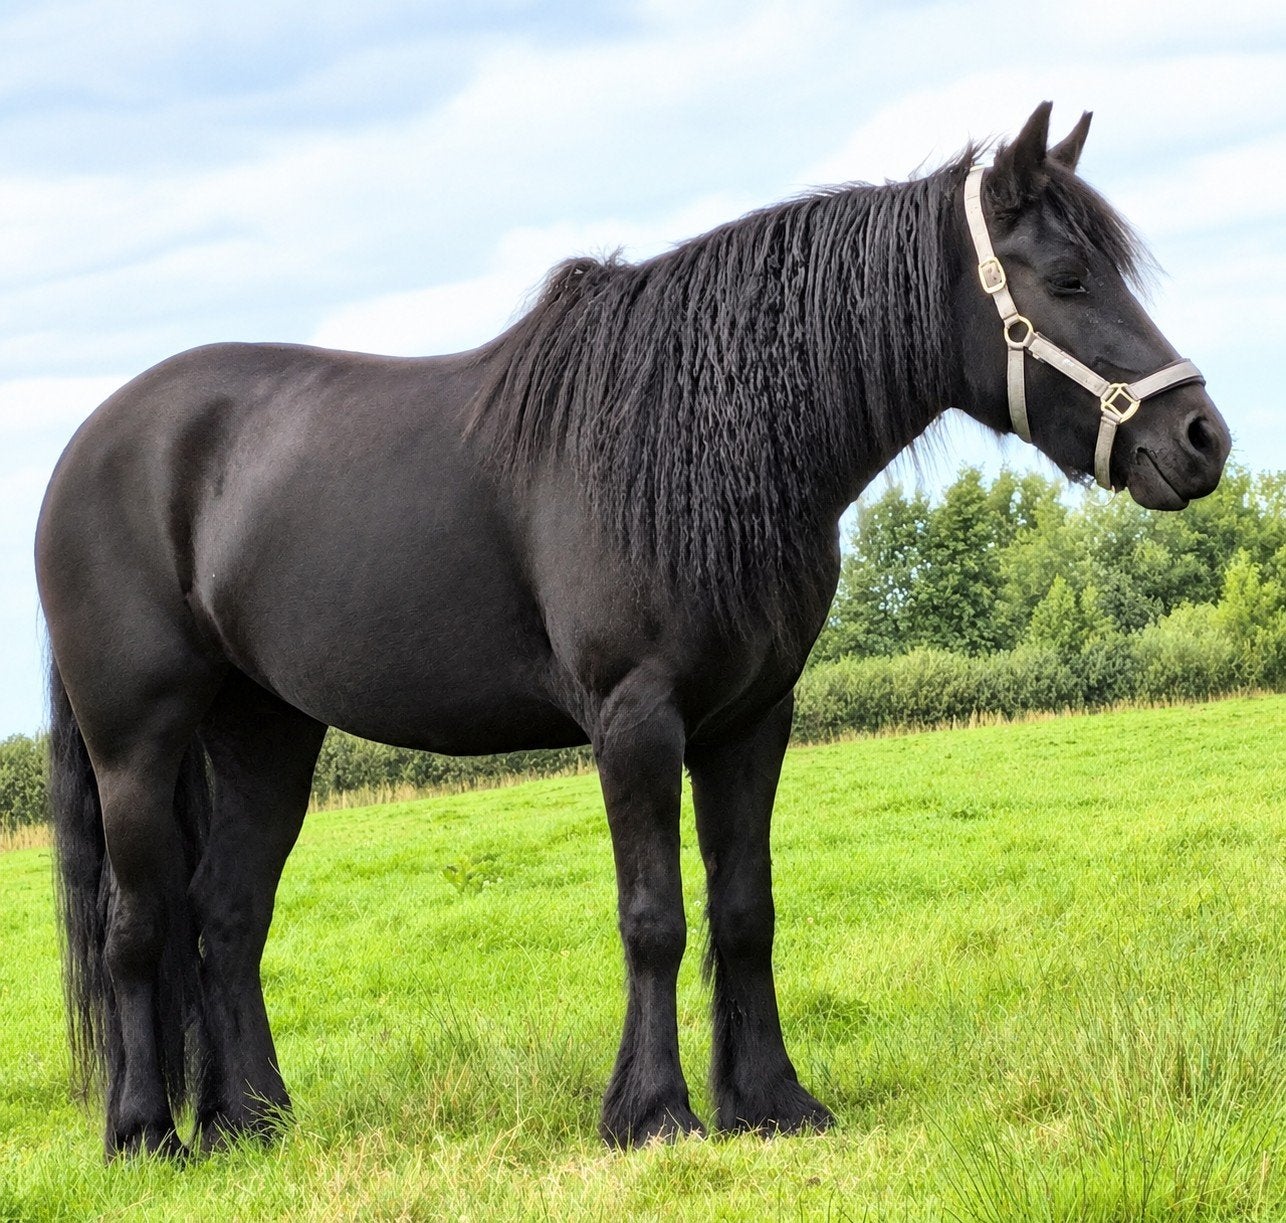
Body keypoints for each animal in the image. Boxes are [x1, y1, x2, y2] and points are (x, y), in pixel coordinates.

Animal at [36, 102, 1230, 1157]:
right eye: (1067, 279)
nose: (1200, 438)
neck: (694, 440)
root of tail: (89, 444)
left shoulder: (752, 720)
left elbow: (745, 908)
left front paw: (771, 1100)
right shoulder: (637, 719)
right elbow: (653, 916)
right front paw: (652, 1112)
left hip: (266, 732)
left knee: (229, 914)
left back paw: (252, 1124)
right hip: (137, 743)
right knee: (140, 925)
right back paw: (145, 1134)